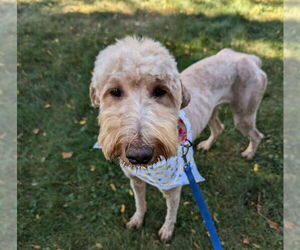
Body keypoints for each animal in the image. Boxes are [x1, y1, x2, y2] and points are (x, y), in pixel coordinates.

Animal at [89, 36, 268, 241]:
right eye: (115, 91)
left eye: (161, 91)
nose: (139, 155)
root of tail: (249, 57)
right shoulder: (135, 180)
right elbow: (140, 203)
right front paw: (137, 220)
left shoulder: (173, 189)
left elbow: (171, 213)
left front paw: (167, 231)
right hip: (212, 111)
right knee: (219, 128)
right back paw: (207, 145)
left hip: (243, 115)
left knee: (257, 135)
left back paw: (249, 153)